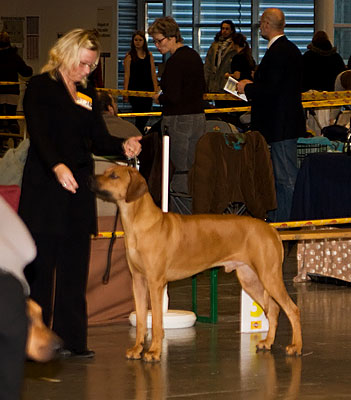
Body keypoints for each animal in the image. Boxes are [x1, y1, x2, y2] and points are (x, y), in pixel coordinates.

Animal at [91, 164, 302, 360]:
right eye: (107, 172)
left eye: (114, 176)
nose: (91, 178)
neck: (139, 223)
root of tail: (271, 229)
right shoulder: (138, 281)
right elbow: (142, 320)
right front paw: (137, 349)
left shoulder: (155, 282)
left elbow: (157, 321)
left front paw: (154, 351)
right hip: (250, 279)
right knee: (273, 309)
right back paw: (268, 342)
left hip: (269, 276)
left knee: (292, 309)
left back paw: (296, 347)